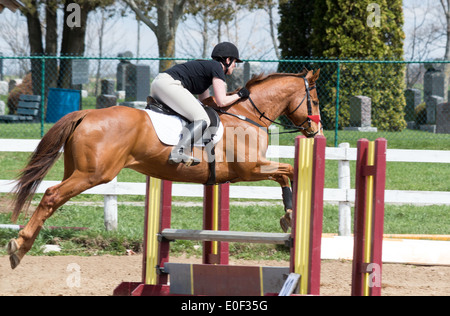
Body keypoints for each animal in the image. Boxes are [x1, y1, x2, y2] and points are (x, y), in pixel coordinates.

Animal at [4, 68, 320, 268]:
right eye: (315, 100)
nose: (316, 130)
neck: (247, 114)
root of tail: (87, 113)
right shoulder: (250, 169)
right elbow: (288, 171)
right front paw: (291, 215)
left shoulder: (251, 169)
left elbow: (284, 174)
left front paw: (288, 217)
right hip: (93, 175)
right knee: (52, 196)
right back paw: (20, 246)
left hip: (78, 170)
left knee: (52, 195)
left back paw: (21, 244)